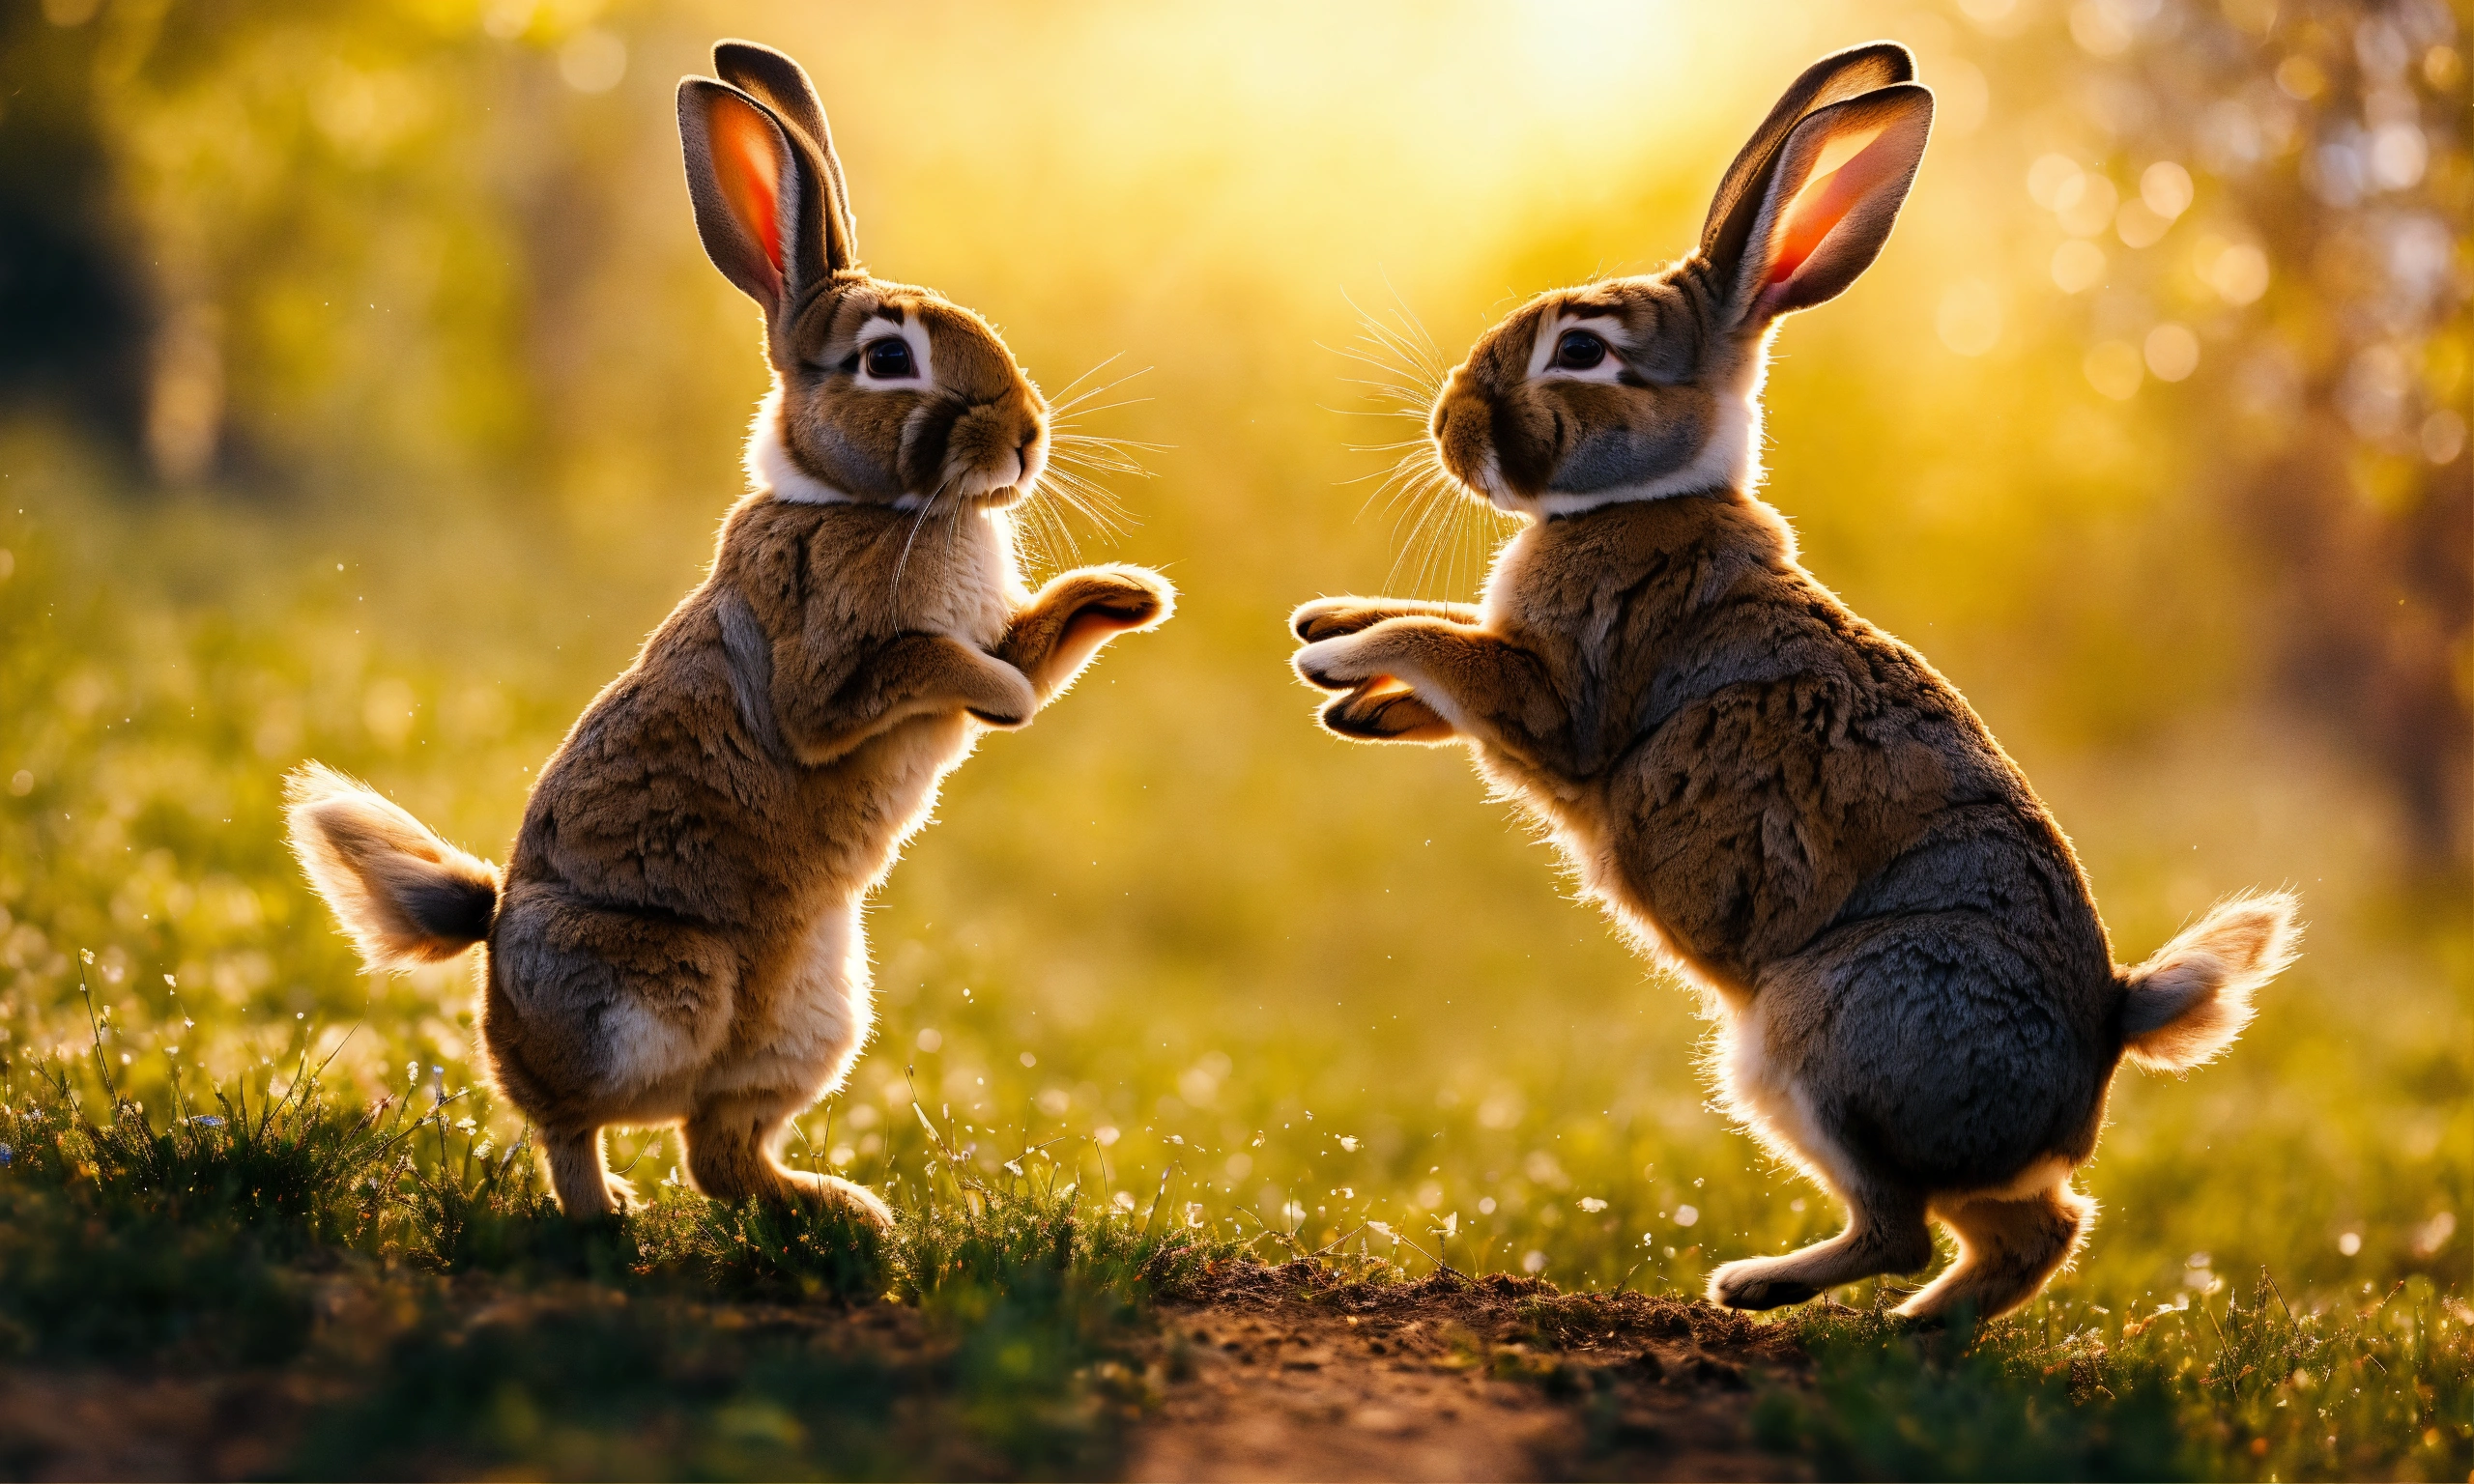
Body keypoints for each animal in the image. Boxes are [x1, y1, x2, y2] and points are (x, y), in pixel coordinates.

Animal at [285, 40, 1174, 1223]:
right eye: (887, 361)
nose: (1027, 436)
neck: (858, 501)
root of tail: (492, 939)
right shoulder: (820, 672)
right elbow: (914, 664)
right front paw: (1004, 694)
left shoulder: (992, 629)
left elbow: (1036, 640)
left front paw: (1128, 597)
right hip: (655, 986)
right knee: (570, 1122)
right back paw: (608, 1218)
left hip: (814, 1016)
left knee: (719, 1150)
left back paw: (843, 1213)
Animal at [1288, 42, 2297, 1322]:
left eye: (1583, 352)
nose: (1448, 426)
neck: (1648, 495)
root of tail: (2111, 1024)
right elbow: (1447, 647)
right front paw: (1339, 655)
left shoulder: (1568, 697)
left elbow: (1447, 645)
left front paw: (1338, 655)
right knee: (2033, 1232)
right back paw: (1915, 1334)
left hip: (1807, 1041)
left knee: (1901, 1227)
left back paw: (1762, 1294)